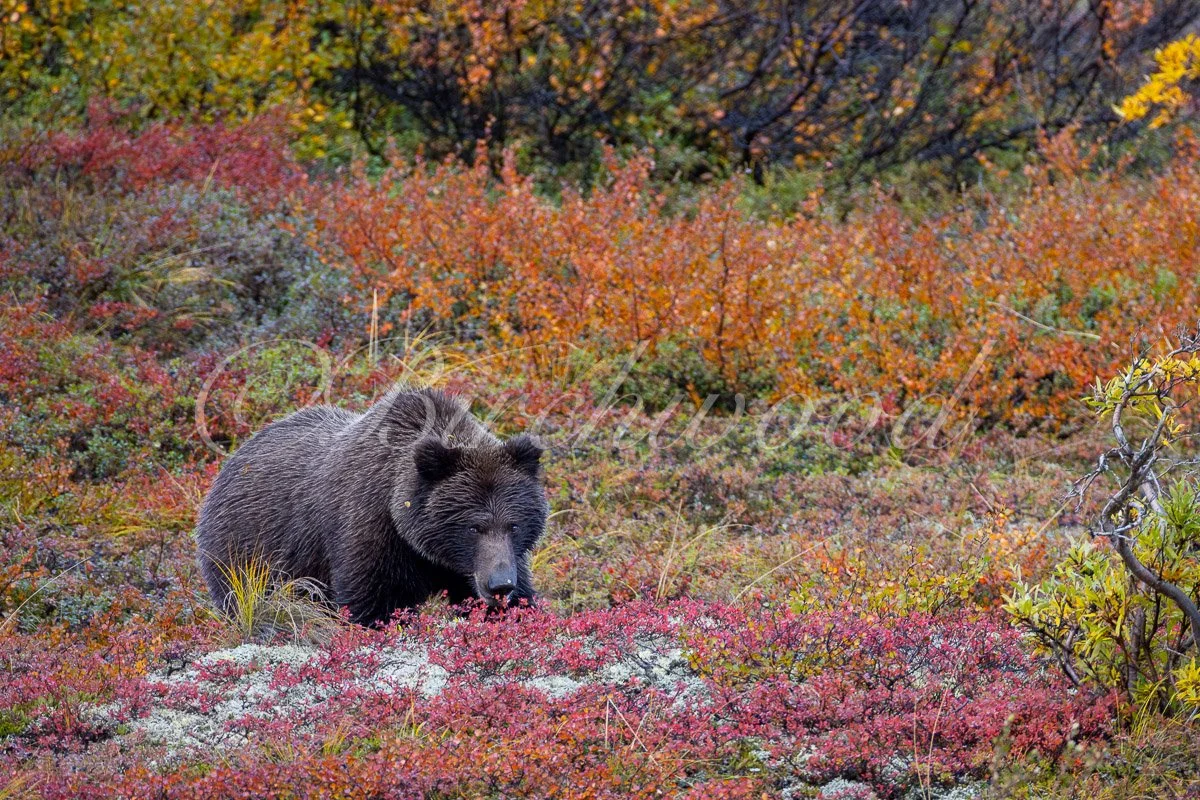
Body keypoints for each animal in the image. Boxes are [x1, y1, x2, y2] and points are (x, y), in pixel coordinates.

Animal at [195, 386, 548, 625]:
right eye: (474, 526)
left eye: (514, 524)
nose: (499, 585)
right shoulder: (371, 533)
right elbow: (372, 607)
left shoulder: (489, 561)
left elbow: (518, 603)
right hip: (245, 556)